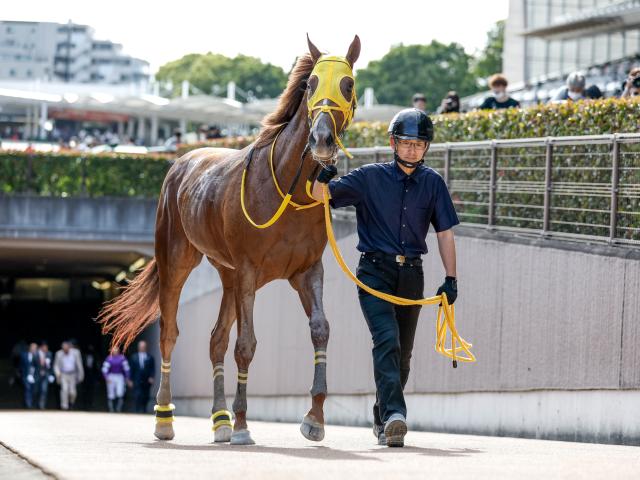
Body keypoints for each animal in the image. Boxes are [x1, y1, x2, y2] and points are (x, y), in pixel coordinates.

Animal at [99, 35, 360, 444]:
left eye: (347, 84)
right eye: (311, 84)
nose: (321, 139)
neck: (286, 189)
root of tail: (179, 162)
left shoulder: (307, 270)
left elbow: (320, 330)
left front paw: (314, 417)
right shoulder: (250, 270)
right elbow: (246, 344)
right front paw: (241, 424)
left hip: (227, 275)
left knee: (215, 338)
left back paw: (219, 420)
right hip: (177, 260)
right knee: (170, 333)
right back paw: (166, 419)